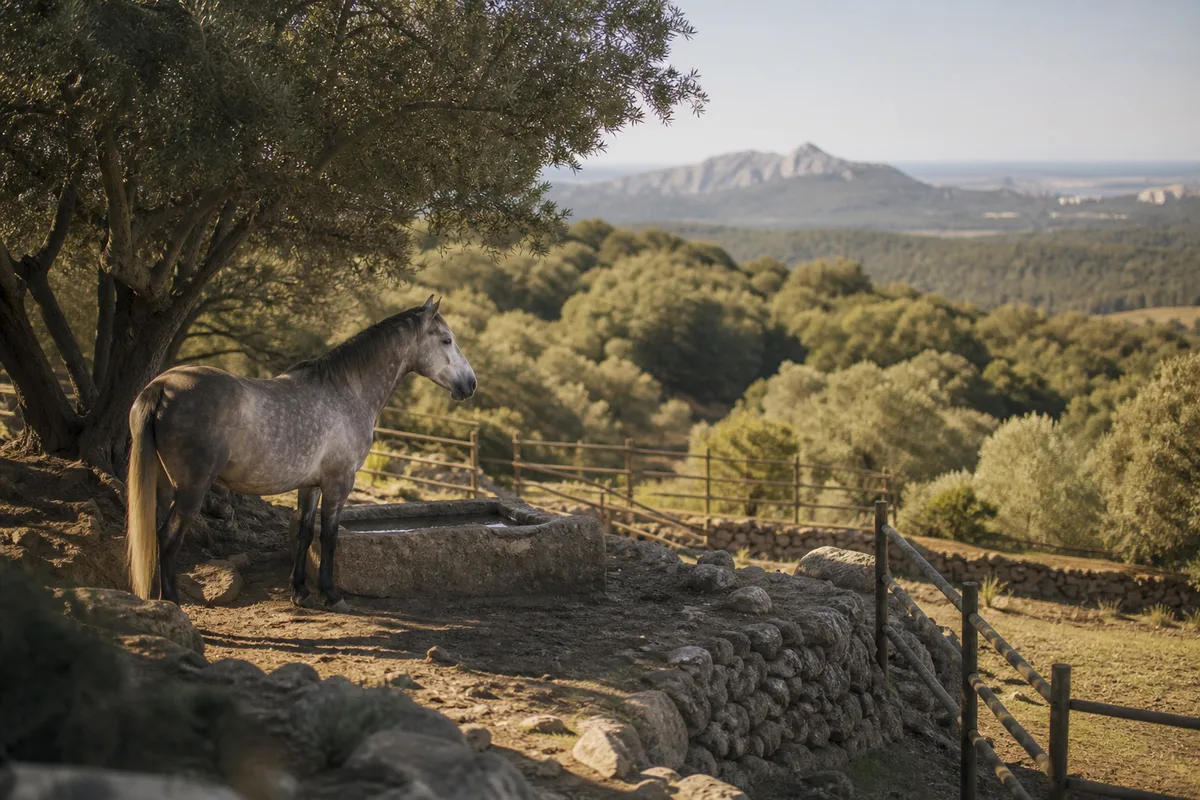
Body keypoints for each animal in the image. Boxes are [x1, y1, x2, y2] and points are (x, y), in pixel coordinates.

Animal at [124, 295, 476, 612]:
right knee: (169, 537)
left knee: (154, 534)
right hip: (192, 489)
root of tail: (162, 386)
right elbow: (330, 537)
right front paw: (332, 595)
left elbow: (305, 534)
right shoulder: (338, 484)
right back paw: (171, 602)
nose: (470, 384)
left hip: (163, 485)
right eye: (446, 340)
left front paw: (301, 593)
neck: (346, 392)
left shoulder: (310, 486)